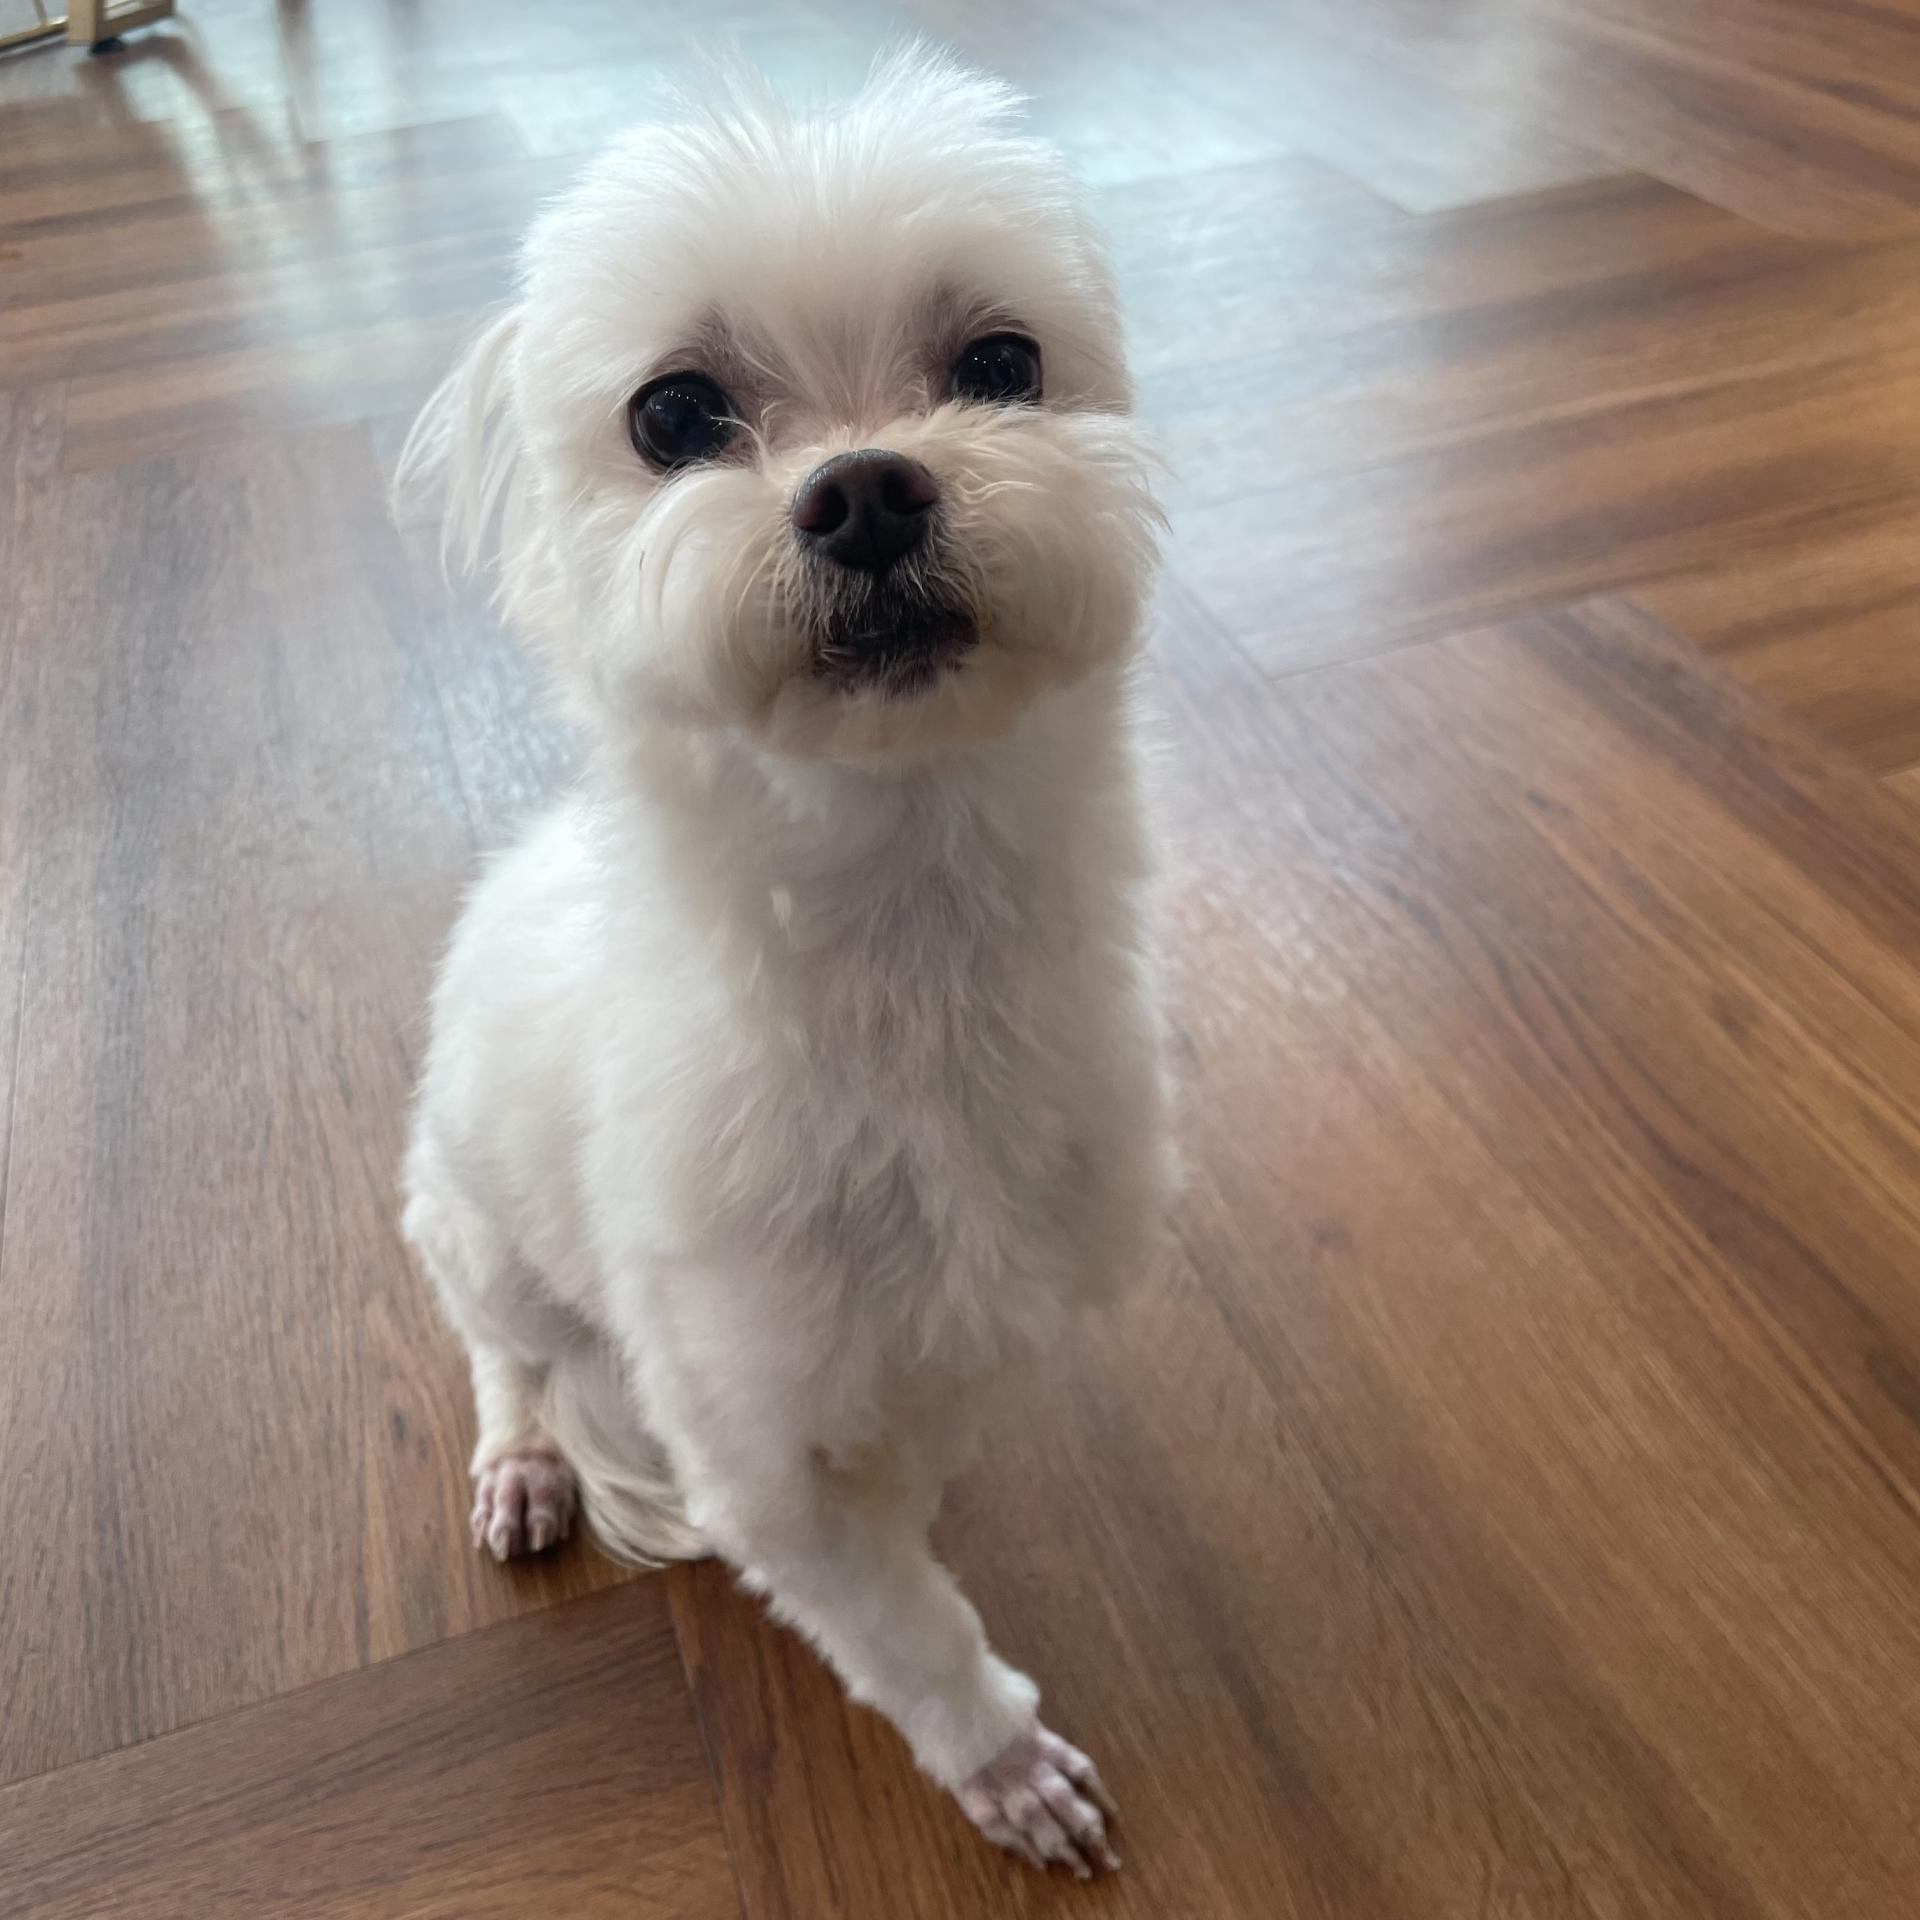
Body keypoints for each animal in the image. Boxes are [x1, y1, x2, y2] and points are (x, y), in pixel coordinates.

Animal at [396, 47, 1172, 1877]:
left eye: (1003, 364)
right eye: (673, 416)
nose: (869, 485)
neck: (909, 957)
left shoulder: (979, 1326)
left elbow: (922, 1459)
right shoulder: (758, 1447)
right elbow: (905, 1626)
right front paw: (1003, 1765)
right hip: (479, 1226)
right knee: (503, 1354)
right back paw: (525, 1463)